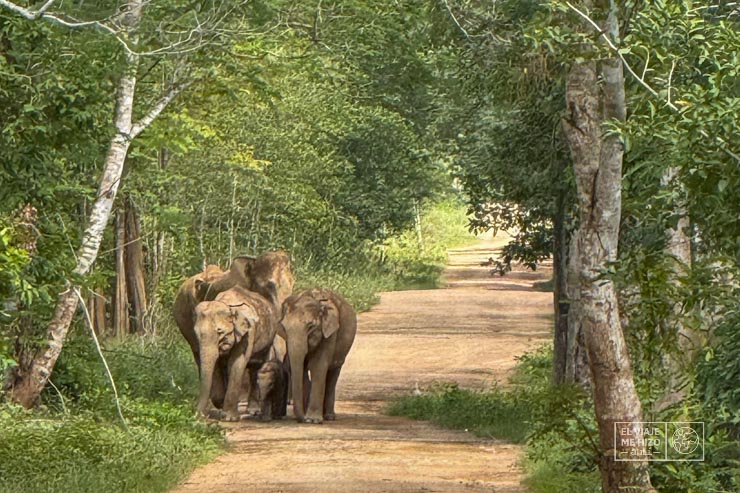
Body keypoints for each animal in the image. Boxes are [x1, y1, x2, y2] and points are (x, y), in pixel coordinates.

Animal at [194, 286, 280, 421]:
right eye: (196, 333)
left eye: (220, 332)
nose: (199, 416)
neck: (226, 305)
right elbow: (218, 364)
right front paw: (221, 406)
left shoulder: (248, 331)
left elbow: (236, 363)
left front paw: (230, 418)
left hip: (268, 342)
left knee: (256, 368)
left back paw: (253, 411)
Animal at [279, 288, 357, 424]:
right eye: (284, 328)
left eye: (311, 326)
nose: (302, 419)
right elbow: (301, 368)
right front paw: (307, 417)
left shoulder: (330, 333)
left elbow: (318, 366)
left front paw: (313, 420)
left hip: (342, 351)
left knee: (333, 373)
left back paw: (329, 417)